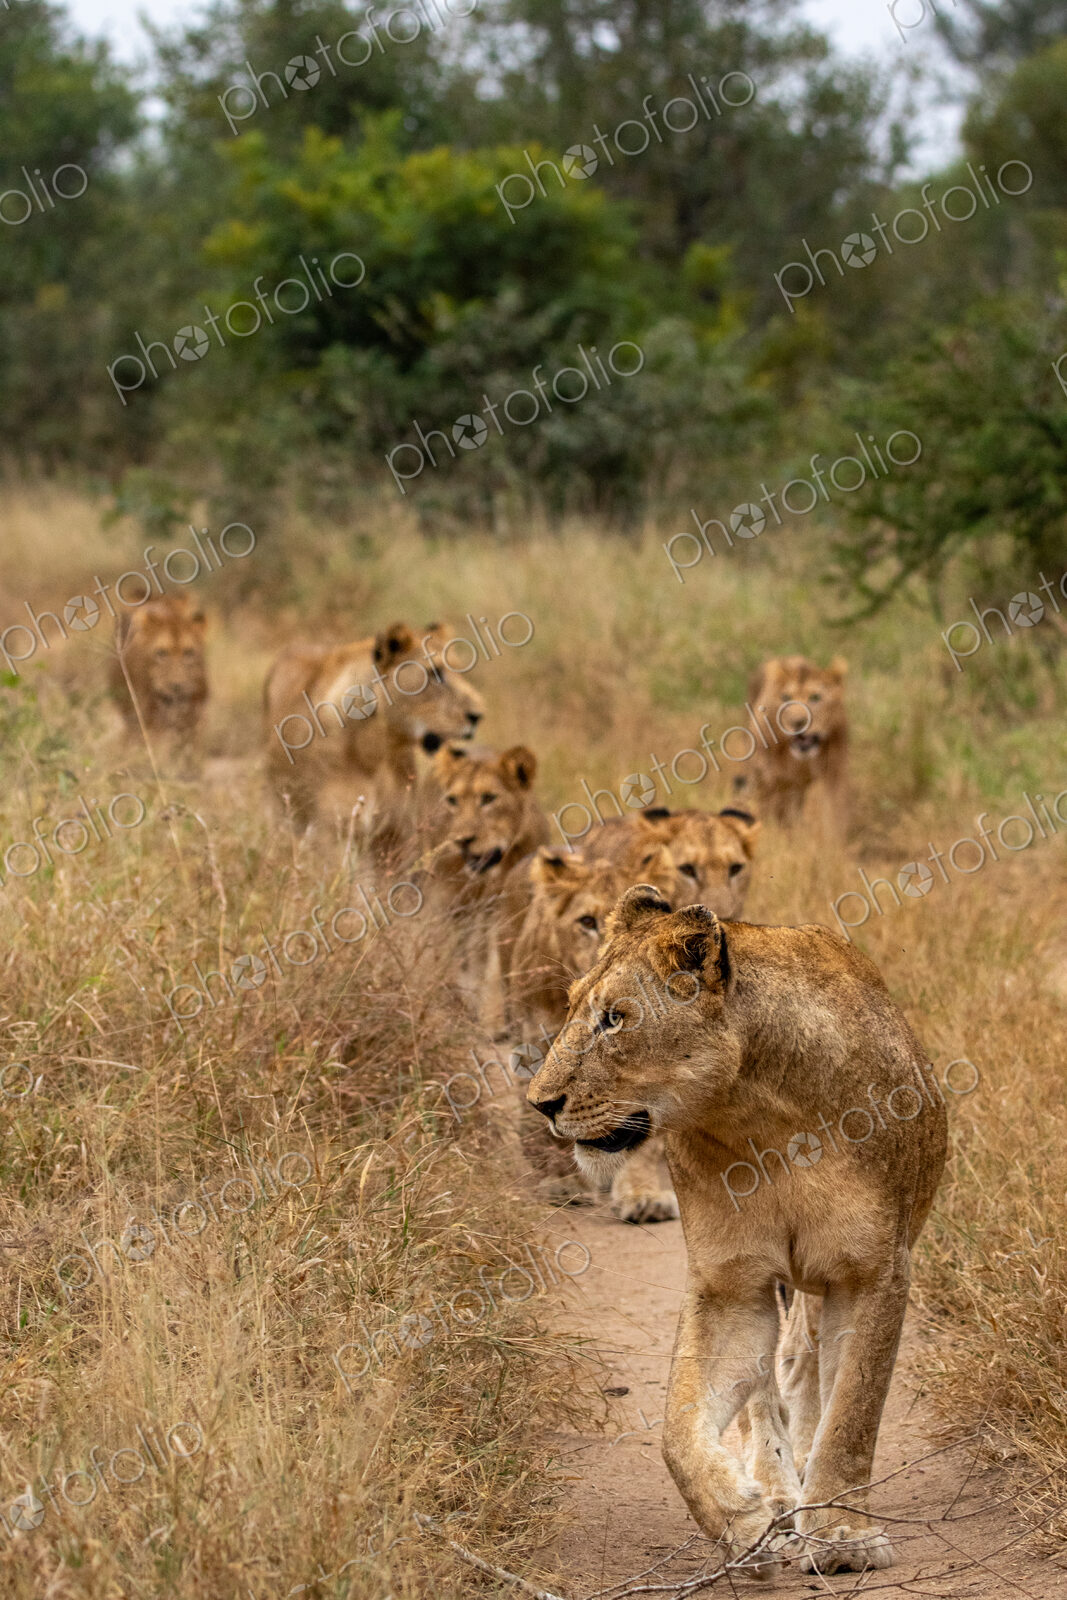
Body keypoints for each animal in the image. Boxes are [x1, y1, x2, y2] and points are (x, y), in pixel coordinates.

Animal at [108, 593, 208, 756]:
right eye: (161, 653)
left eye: (189, 652)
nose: (176, 686)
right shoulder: (147, 720)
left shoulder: (193, 720)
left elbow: (189, 752)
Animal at [264, 621, 485, 848]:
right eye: (435, 673)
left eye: (461, 672)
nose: (478, 715)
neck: (378, 750)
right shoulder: (333, 834)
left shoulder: (401, 833)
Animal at [526, 886, 946, 1575]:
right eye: (571, 1007)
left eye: (614, 1019)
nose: (540, 1103)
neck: (758, 1116)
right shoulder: (731, 1285)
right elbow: (678, 1430)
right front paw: (743, 1521)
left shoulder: (873, 1272)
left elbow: (852, 1413)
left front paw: (842, 1536)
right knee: (767, 1390)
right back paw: (774, 1494)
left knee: (804, 1365)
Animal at [734, 656, 848, 833]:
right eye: (786, 697)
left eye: (816, 697)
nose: (797, 722)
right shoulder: (770, 779)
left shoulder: (834, 773)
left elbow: (833, 816)